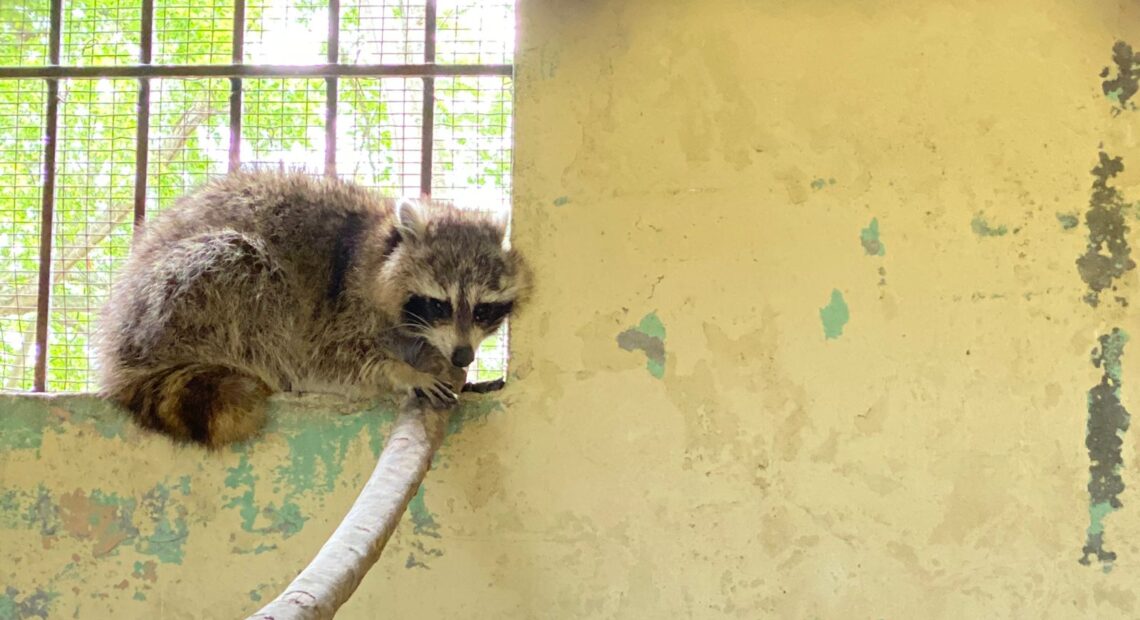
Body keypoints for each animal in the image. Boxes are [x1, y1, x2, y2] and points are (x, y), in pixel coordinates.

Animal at [94, 170, 533, 451]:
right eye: (439, 304)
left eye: (484, 311)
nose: (463, 355)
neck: (379, 246)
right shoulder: (341, 301)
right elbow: (331, 360)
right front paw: (400, 371)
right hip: (177, 301)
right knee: (248, 270)